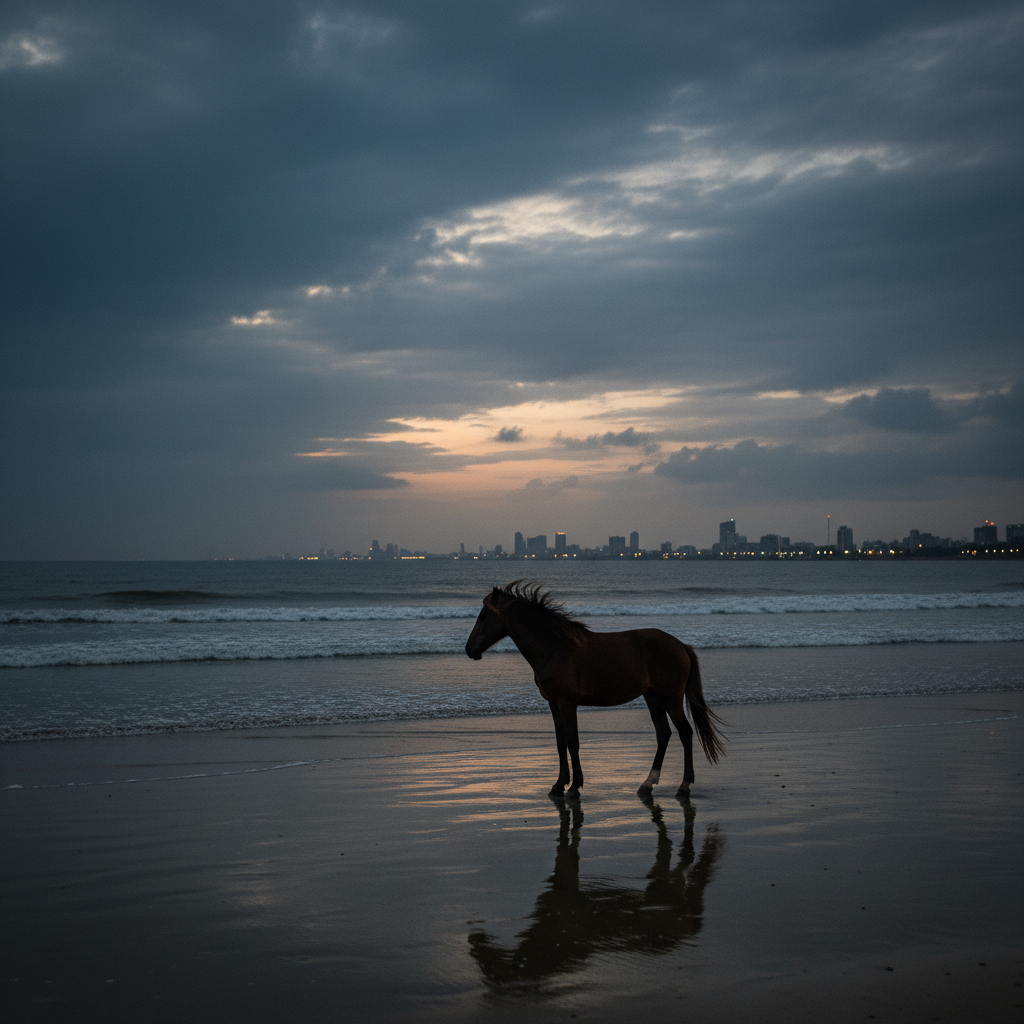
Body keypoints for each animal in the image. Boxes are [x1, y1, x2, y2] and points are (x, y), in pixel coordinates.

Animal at [465, 580, 726, 799]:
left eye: (483, 616)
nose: (469, 649)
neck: (554, 647)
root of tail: (680, 645)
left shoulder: (568, 704)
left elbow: (573, 742)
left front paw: (574, 786)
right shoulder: (554, 704)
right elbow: (561, 743)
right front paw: (558, 785)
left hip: (670, 698)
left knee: (685, 733)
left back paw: (684, 785)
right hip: (652, 697)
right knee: (663, 734)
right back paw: (647, 784)